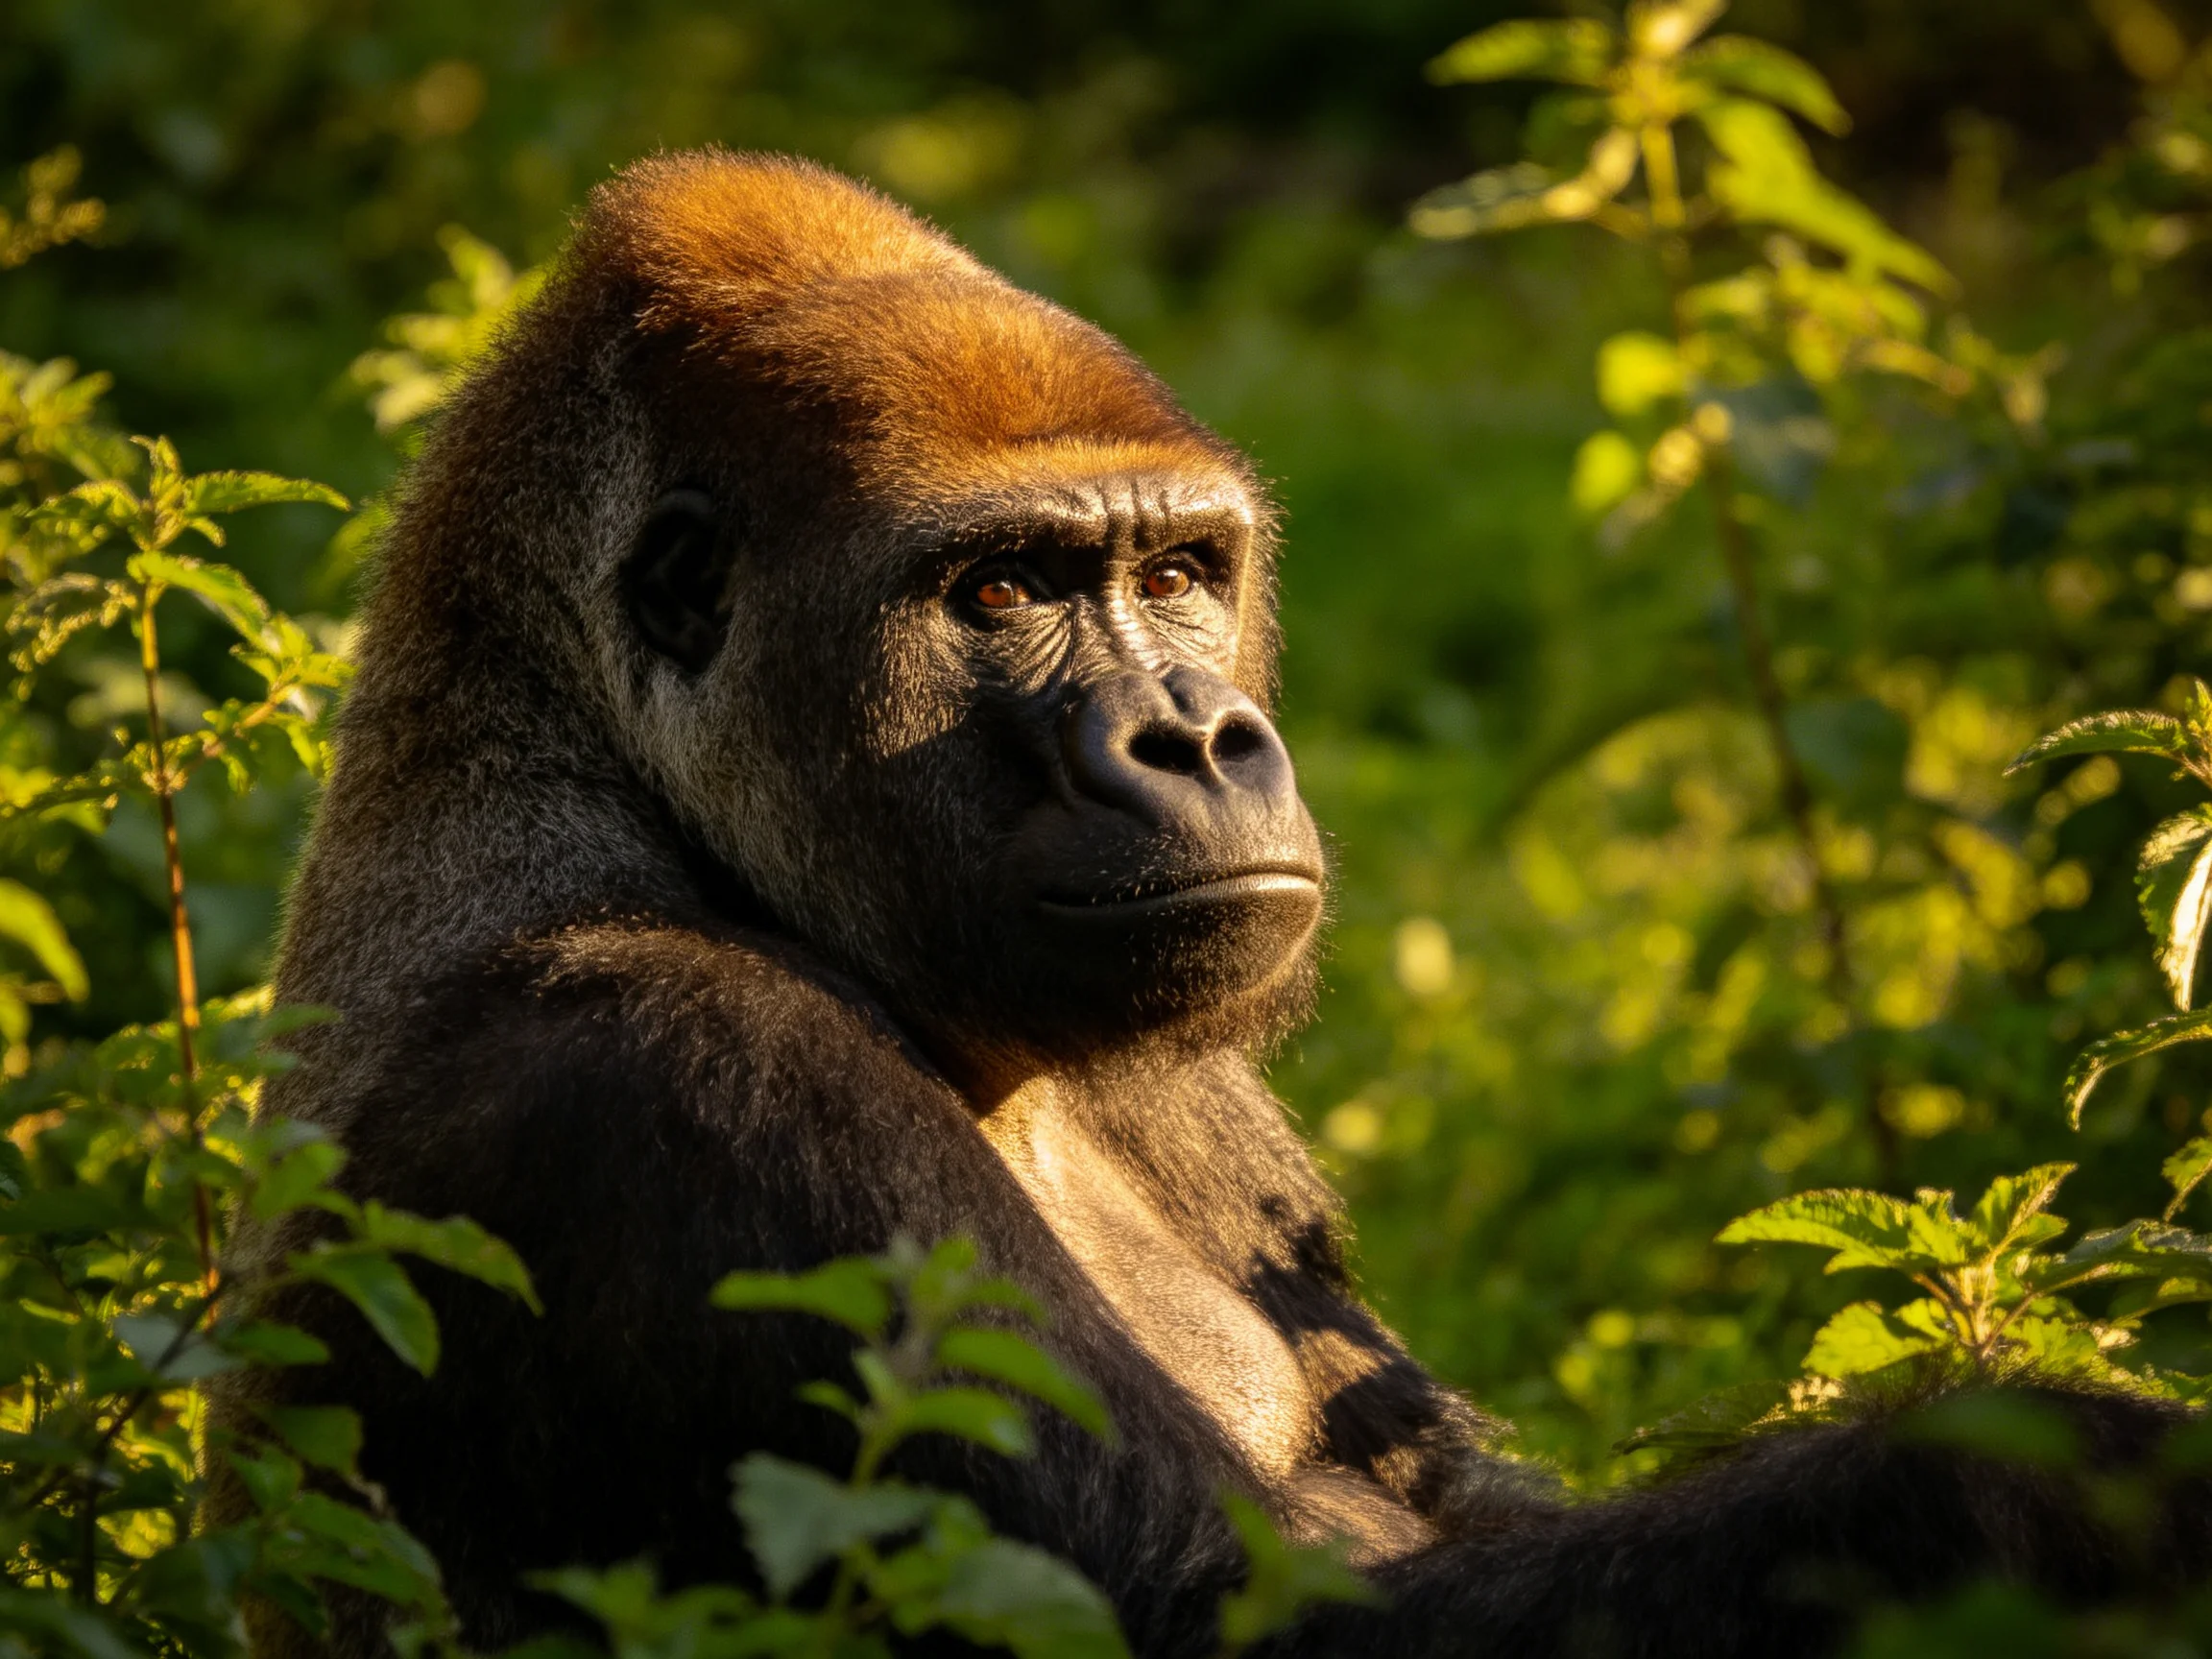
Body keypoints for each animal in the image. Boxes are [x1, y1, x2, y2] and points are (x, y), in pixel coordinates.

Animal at [213, 150, 2212, 1658]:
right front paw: (2041, 1484)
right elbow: (1213, 1615)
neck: (579, 754)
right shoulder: (664, 1071)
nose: (1196, 735)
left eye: (1179, 570)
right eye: (1000, 589)